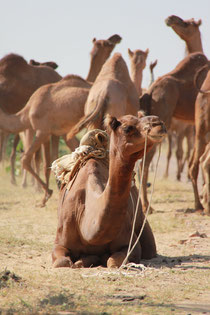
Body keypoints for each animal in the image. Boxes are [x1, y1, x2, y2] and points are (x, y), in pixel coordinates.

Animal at [51, 112, 167, 268]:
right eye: (127, 128)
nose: (158, 123)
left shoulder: (130, 245)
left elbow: (113, 261)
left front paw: (92, 259)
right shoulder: (60, 242)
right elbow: (63, 261)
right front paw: (84, 260)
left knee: (149, 248)